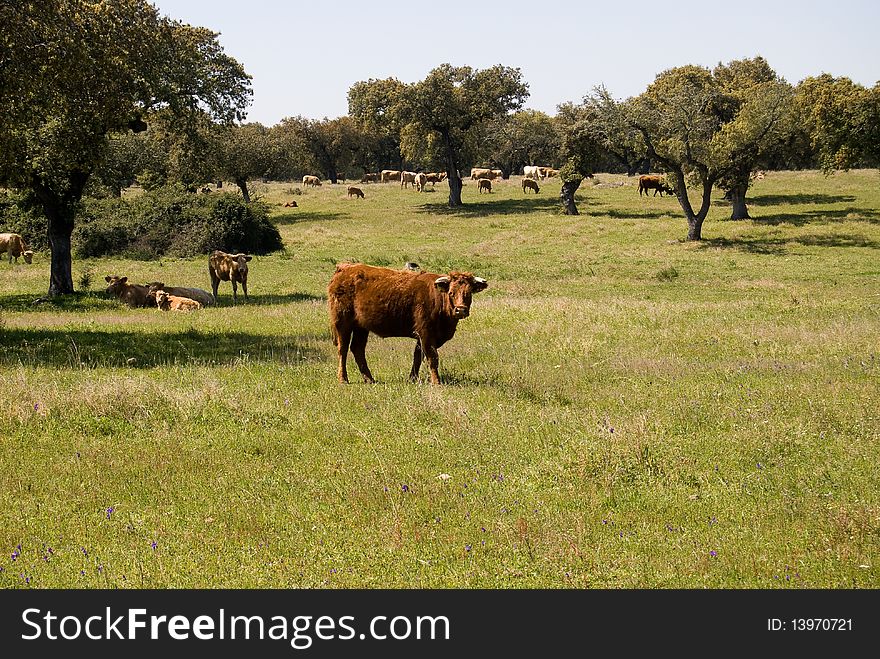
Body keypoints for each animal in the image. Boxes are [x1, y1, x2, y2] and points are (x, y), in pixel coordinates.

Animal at [326, 262, 488, 386]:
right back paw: (343, 379)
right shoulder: (426, 333)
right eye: (451, 293)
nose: (460, 310)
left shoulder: (422, 336)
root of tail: (344, 268)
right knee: (343, 349)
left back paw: (370, 379)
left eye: (468, 293)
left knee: (357, 349)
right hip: (343, 323)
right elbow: (432, 357)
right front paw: (436, 382)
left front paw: (412, 379)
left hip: (361, 327)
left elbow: (417, 356)